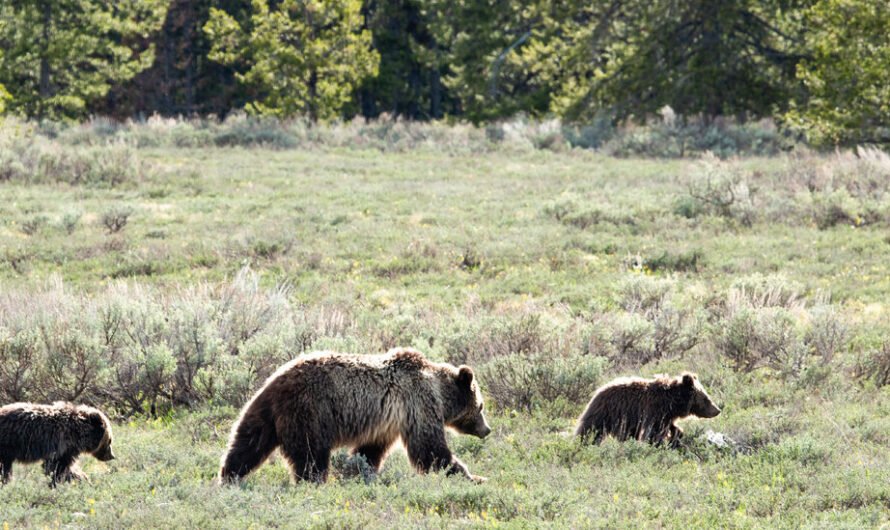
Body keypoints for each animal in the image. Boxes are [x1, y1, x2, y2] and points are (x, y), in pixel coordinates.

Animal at [218, 346, 490, 482]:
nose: (486, 429)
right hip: (310, 411)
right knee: (311, 454)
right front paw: (473, 476)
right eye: (481, 406)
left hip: (265, 411)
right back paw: (313, 481)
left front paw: (359, 472)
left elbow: (369, 451)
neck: (440, 394)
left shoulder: (385, 423)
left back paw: (229, 476)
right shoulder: (418, 405)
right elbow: (430, 449)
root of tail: (276, 381)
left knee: (248, 442)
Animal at [572, 372, 720, 446]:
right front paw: (656, 444)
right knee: (590, 430)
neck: (672, 402)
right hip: (606, 413)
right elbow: (654, 432)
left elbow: (671, 428)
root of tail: (597, 392)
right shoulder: (654, 410)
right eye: (706, 398)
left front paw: (677, 435)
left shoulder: (666, 415)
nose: (717, 410)